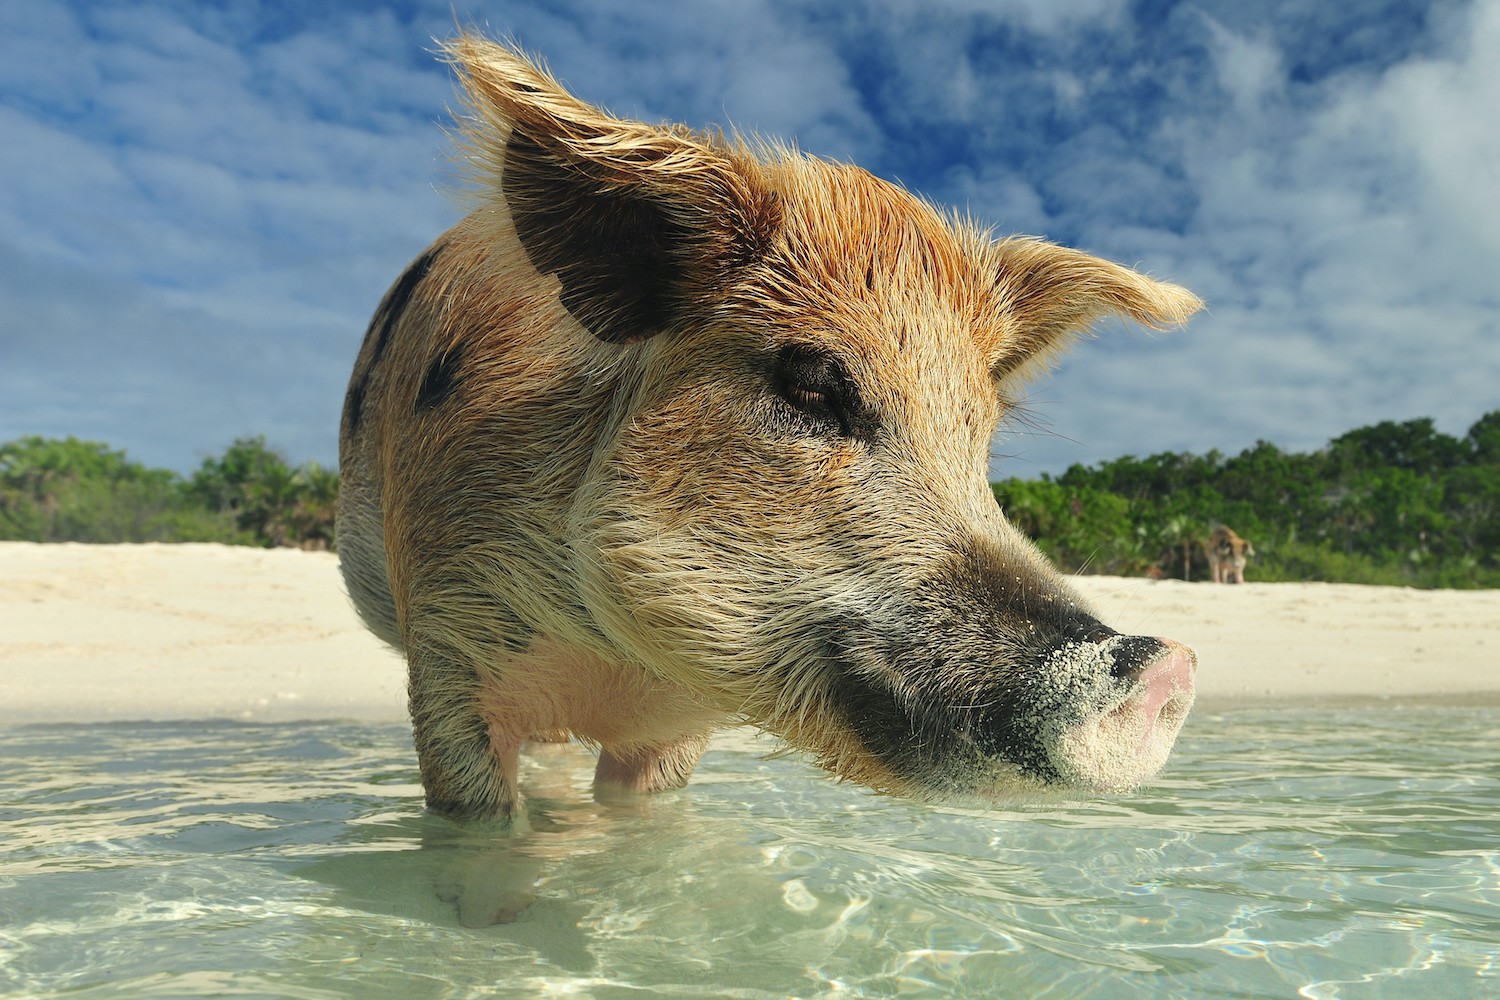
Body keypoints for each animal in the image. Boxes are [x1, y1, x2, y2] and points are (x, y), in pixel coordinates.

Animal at [334, 37, 1200, 821]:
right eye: (811, 382)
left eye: (978, 432)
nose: (1164, 663)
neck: (609, 664)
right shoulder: (447, 646)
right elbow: (477, 826)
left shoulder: (677, 728)